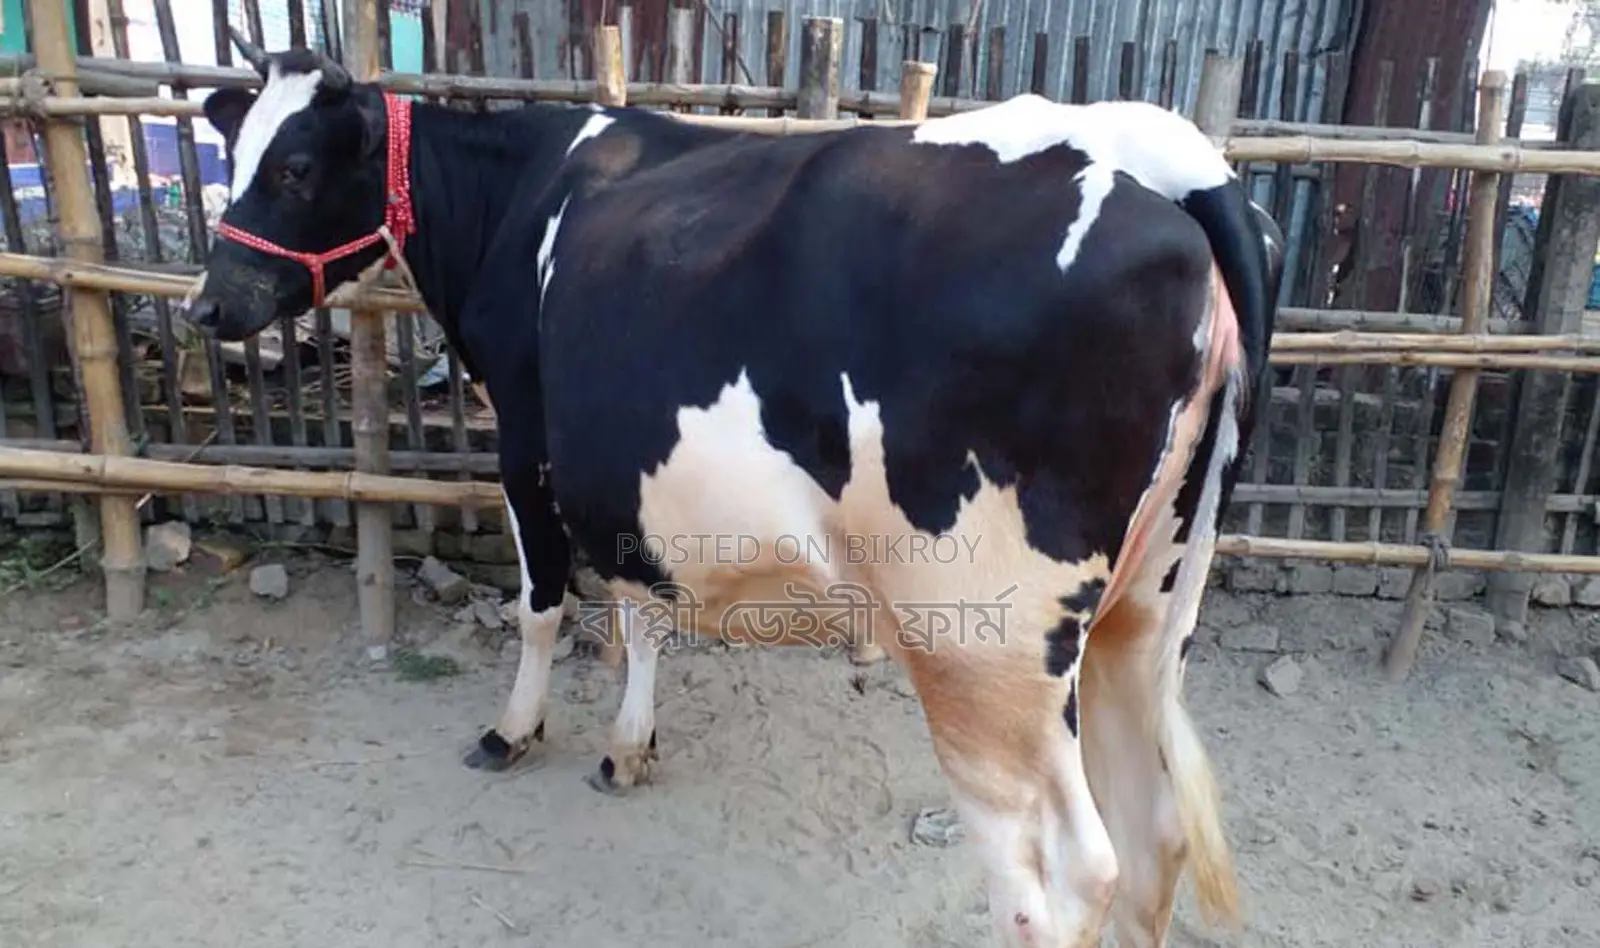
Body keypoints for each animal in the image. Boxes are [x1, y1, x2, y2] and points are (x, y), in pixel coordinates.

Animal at [188, 31, 1284, 948]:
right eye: (233, 155)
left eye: (293, 169)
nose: (209, 304)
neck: (517, 196)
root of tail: (1171, 159)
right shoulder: (619, 464)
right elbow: (638, 608)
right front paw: (627, 748)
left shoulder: (529, 440)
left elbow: (544, 603)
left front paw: (513, 731)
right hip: (1147, 607)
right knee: (1154, 833)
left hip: (984, 639)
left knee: (1061, 877)